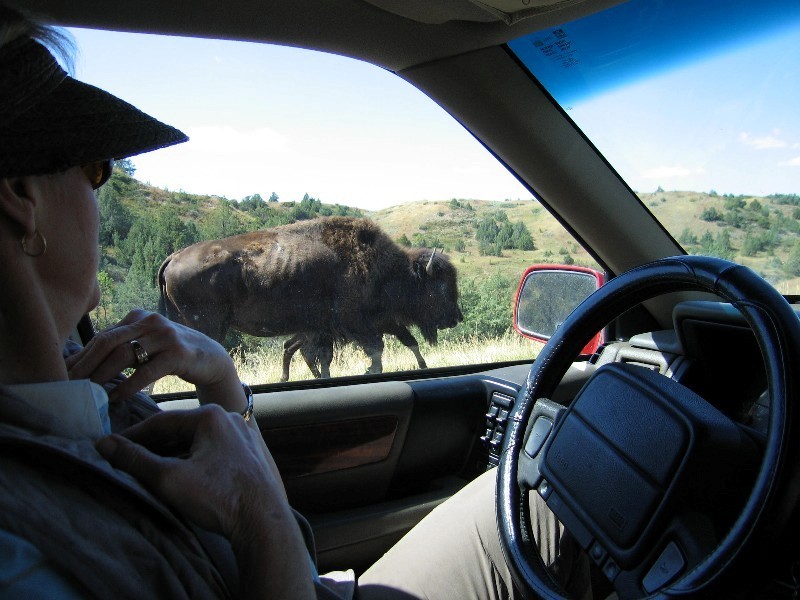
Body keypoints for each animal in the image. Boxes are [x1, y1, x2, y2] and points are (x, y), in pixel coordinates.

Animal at [157, 216, 463, 378]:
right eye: (441, 286)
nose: (456, 318)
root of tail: (174, 257)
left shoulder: (325, 329)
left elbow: (325, 357)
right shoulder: (357, 324)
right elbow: (375, 350)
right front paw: (368, 372)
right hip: (208, 327)